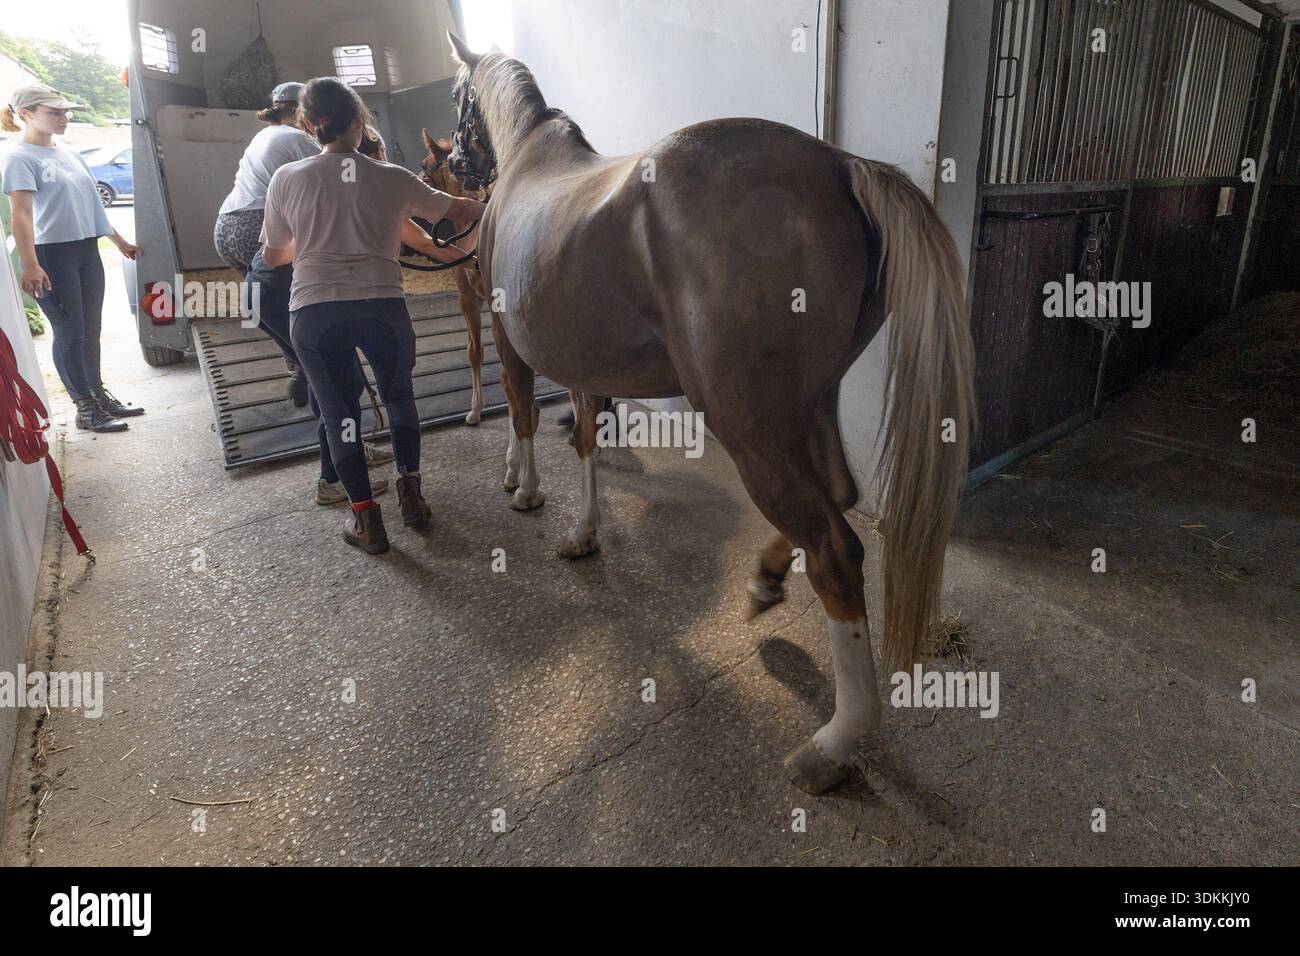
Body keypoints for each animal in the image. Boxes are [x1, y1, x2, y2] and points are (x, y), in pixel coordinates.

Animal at [444, 33, 975, 794]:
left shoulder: (512, 341)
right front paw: (582, 531)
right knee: (837, 495)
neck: (526, 162)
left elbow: (522, 415)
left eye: (458, 100)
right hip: (805, 405)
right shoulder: (584, 367)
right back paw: (764, 580)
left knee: (835, 549)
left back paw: (833, 744)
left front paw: (524, 489)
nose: (458, 165)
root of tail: (841, 166)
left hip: (747, 424)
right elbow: (585, 440)